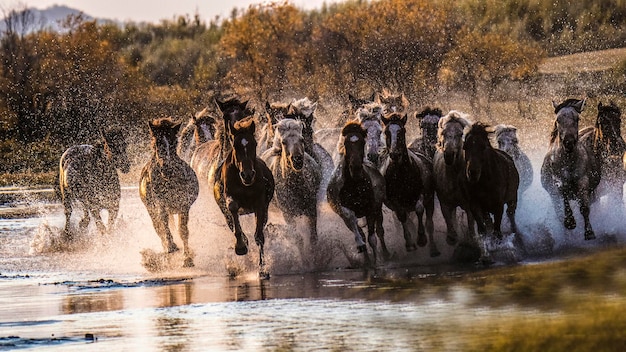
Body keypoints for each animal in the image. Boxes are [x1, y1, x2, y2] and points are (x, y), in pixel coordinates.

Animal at [139, 118, 197, 266]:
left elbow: (183, 231)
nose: (165, 168)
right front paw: (171, 246)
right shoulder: (160, 204)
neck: (169, 179)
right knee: (158, 228)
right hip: (150, 209)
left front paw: (187, 259)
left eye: (173, 142)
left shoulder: (184, 205)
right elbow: (163, 224)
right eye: (156, 143)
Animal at [324, 119, 388, 266]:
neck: (355, 184)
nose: (356, 168)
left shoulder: (371, 209)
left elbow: (372, 238)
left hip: (378, 208)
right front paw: (362, 249)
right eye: (346, 143)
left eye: (362, 142)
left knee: (379, 231)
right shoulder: (342, 210)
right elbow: (352, 220)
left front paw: (376, 261)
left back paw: (386, 254)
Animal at [378, 112, 436, 256]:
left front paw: (421, 238)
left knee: (429, 222)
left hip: (430, 199)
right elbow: (402, 216)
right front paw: (410, 244)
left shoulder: (422, 193)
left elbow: (419, 208)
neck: (401, 174)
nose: (394, 153)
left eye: (402, 131)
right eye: (386, 132)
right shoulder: (395, 201)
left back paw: (433, 249)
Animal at [460, 122, 520, 262]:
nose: (472, 172)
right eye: (465, 147)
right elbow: (483, 230)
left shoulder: (498, 205)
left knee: (511, 214)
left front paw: (506, 250)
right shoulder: (475, 204)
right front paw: (485, 255)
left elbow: (497, 231)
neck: (484, 182)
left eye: (483, 147)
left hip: (512, 198)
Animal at [536, 99, 600, 242]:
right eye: (558, 119)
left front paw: (589, 233)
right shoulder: (559, 184)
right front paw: (570, 222)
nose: (569, 142)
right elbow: (564, 199)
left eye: (577, 118)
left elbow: (584, 208)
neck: (568, 162)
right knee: (559, 212)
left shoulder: (583, 183)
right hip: (553, 197)